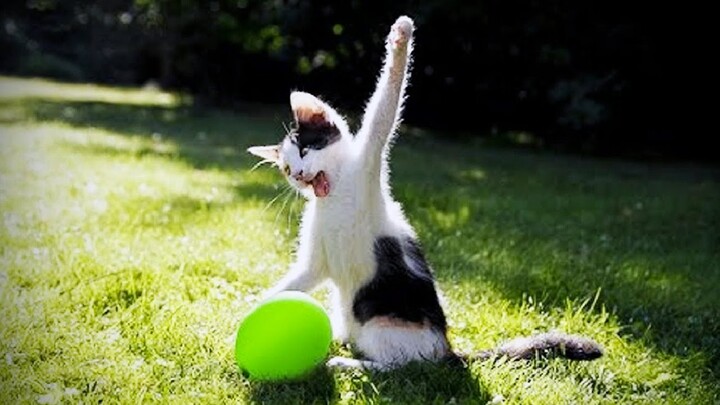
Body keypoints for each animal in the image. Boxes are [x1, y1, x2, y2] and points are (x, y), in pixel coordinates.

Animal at [248, 15, 600, 370]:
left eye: (305, 150)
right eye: (287, 170)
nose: (300, 176)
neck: (334, 195)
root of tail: (445, 348)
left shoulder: (369, 160)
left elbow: (385, 106)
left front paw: (400, 38)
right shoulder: (315, 262)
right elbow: (291, 282)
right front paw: (248, 316)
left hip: (382, 324)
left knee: (399, 365)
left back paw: (350, 364)